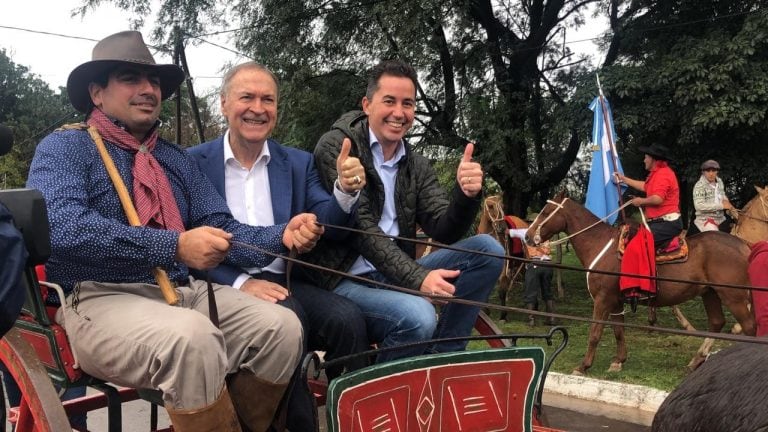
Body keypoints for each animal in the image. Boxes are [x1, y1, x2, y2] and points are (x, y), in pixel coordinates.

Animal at [524, 192, 752, 374]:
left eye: (545, 211)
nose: (527, 236)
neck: (600, 244)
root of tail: (744, 246)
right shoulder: (616, 302)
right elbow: (618, 330)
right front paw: (618, 361)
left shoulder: (602, 299)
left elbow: (595, 333)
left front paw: (583, 366)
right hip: (710, 293)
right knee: (716, 323)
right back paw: (695, 361)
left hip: (734, 297)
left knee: (748, 327)